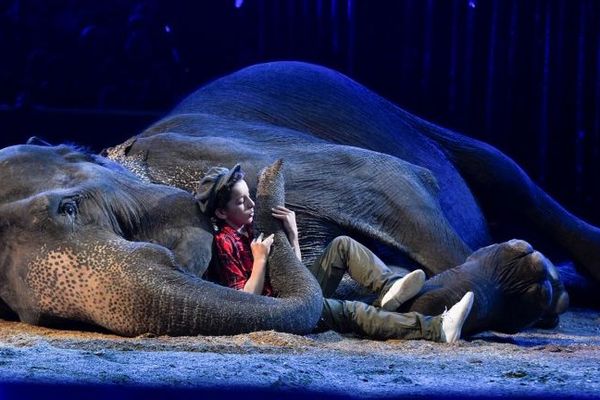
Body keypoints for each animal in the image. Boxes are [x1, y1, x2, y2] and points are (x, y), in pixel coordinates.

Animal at [0, 61, 584, 338]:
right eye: (19, 309)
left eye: (69, 207)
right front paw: (529, 285)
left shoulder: (217, 152)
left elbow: (395, 179)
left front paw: (536, 285)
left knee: (507, 174)